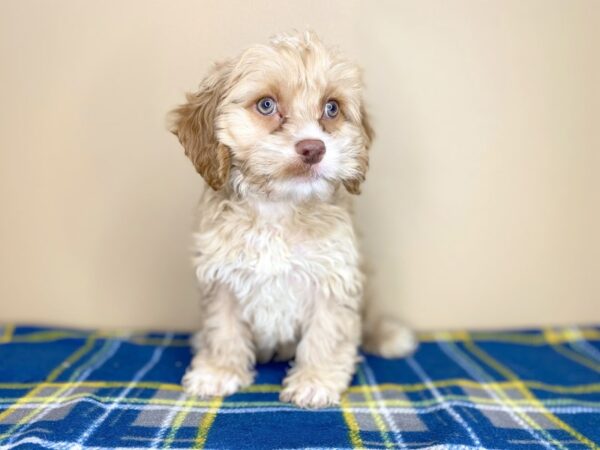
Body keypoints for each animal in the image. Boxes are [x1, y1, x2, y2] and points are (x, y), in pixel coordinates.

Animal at [166, 31, 414, 410]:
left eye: (331, 108)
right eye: (266, 105)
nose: (314, 148)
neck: (278, 208)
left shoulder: (334, 278)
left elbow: (327, 333)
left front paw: (315, 381)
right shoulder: (221, 278)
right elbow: (223, 329)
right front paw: (219, 371)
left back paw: (387, 336)